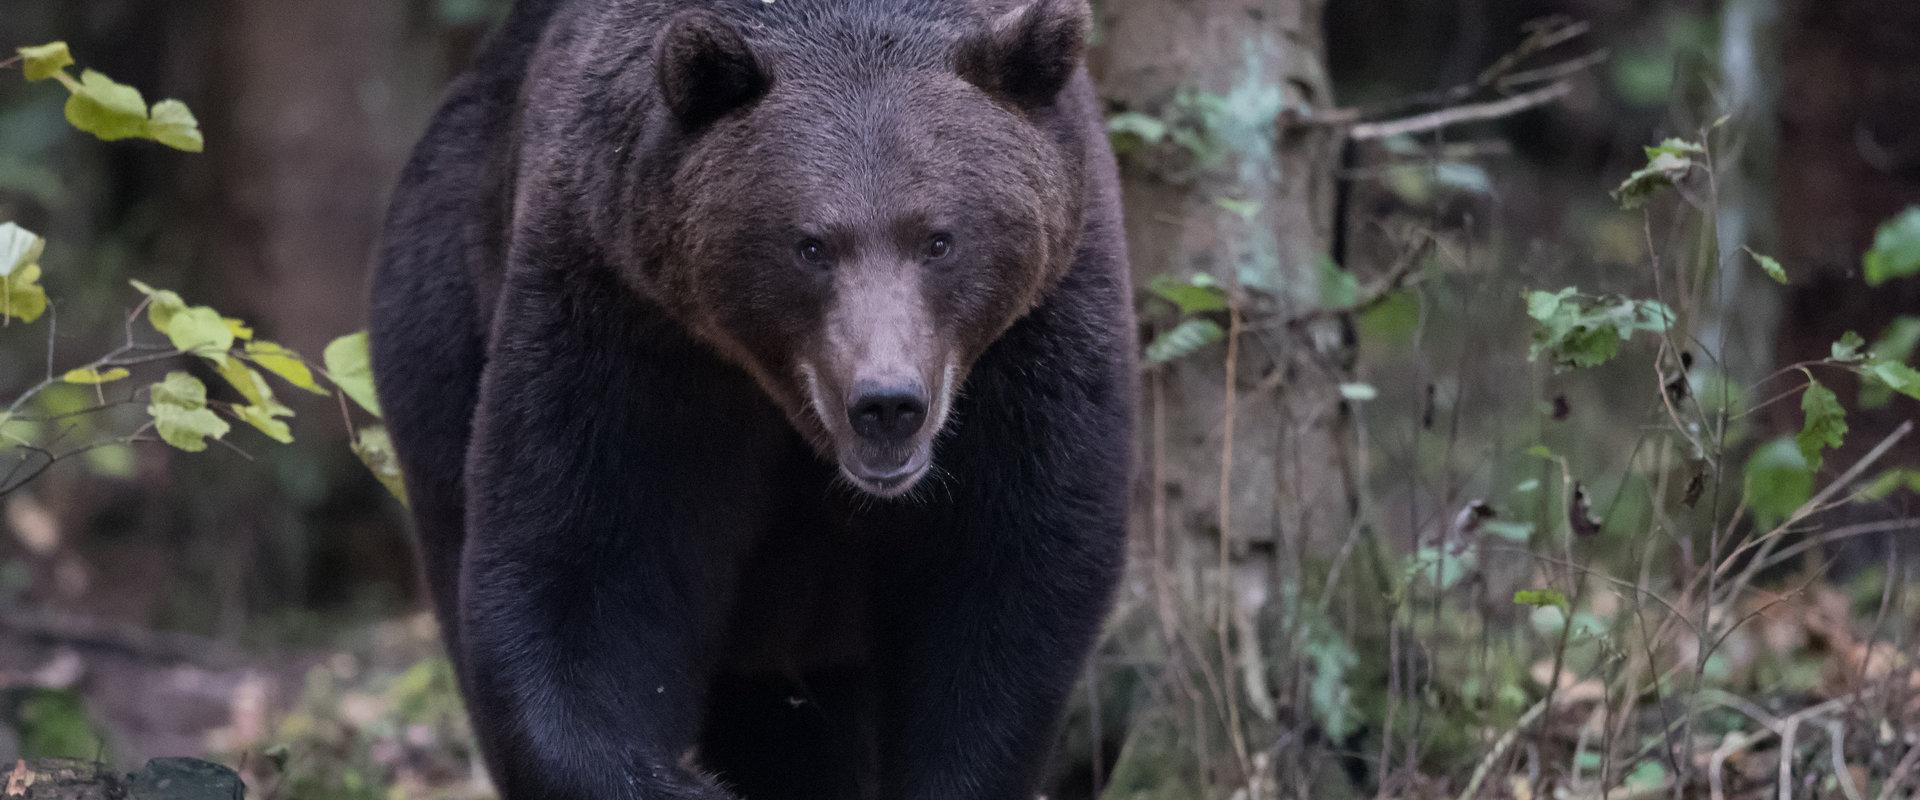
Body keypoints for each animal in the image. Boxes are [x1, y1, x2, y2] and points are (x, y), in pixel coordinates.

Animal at [366, 0, 1128, 794]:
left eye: (939, 240)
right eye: (811, 245)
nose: (886, 403)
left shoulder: (1038, 336)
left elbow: (1005, 577)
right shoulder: (621, 315)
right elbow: (581, 572)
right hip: (437, 318)